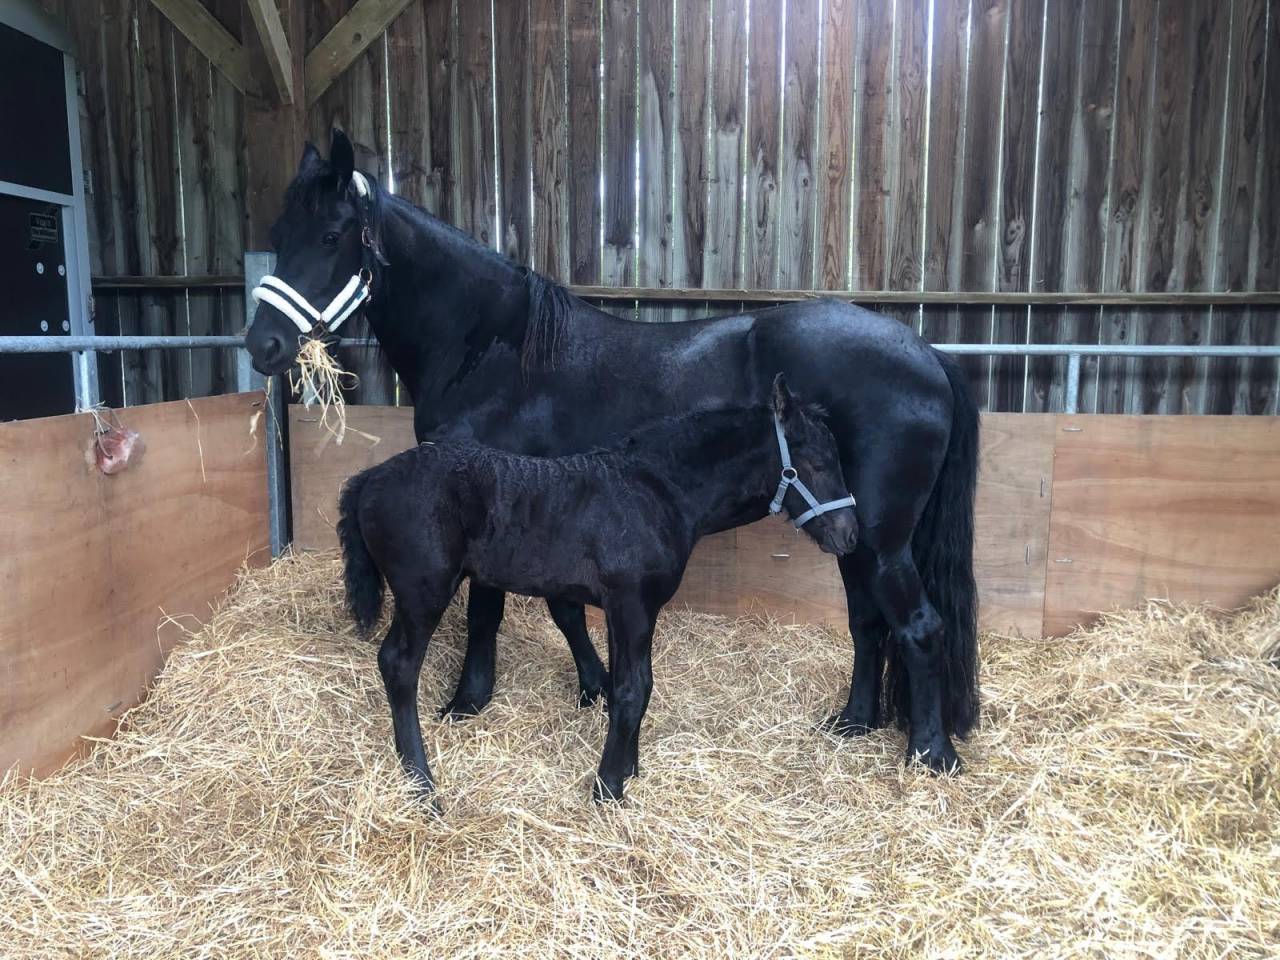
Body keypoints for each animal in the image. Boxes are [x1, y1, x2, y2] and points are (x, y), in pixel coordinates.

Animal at [337, 375, 859, 802]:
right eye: (816, 462)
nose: (850, 536)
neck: (658, 491)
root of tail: (369, 479)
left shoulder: (621, 609)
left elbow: (633, 683)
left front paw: (629, 768)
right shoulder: (633, 605)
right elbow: (632, 688)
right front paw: (608, 786)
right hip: (423, 593)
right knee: (398, 665)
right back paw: (421, 783)